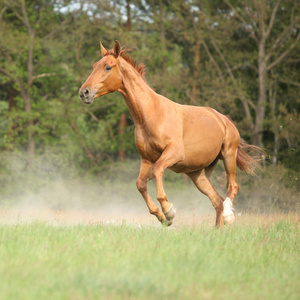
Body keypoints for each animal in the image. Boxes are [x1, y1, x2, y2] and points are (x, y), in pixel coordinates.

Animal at [78, 40, 262, 227]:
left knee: (232, 187)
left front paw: (169, 210)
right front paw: (161, 216)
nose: (84, 92)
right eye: (94, 66)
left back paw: (228, 215)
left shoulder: (173, 153)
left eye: (108, 67)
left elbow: (158, 170)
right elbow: (140, 183)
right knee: (217, 200)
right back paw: (218, 228)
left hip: (228, 154)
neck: (151, 115)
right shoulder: (147, 159)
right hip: (198, 175)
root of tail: (224, 119)